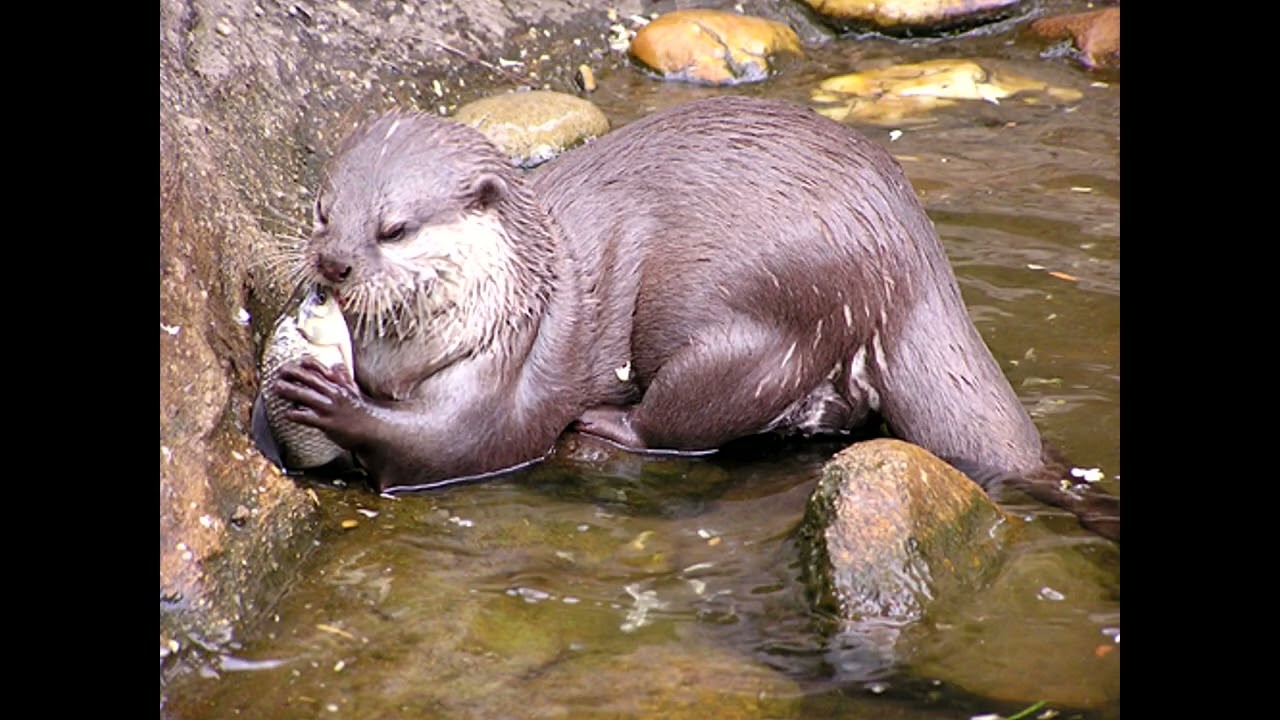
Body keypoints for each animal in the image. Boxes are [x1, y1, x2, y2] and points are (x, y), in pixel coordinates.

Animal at [268, 95, 1118, 541]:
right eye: (322, 213)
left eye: (395, 229)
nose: (333, 264)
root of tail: (906, 255)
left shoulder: (510, 367)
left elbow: (458, 443)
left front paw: (334, 403)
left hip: (761, 318)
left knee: (688, 415)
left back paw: (611, 426)